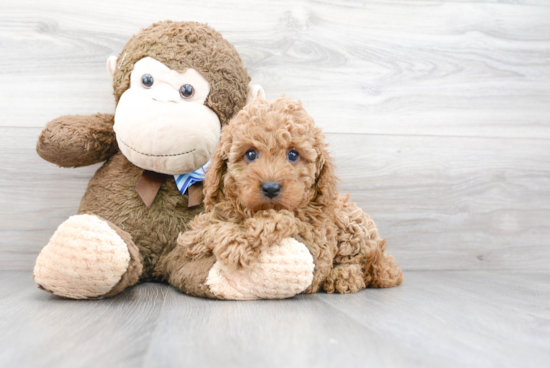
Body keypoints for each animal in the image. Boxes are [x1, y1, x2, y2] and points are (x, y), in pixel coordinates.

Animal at [157, 97, 404, 300]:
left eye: (293, 154)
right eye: (250, 154)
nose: (271, 188)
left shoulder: (316, 244)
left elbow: (281, 218)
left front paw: (239, 242)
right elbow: (205, 229)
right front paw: (223, 237)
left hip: (351, 223)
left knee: (360, 261)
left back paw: (344, 276)